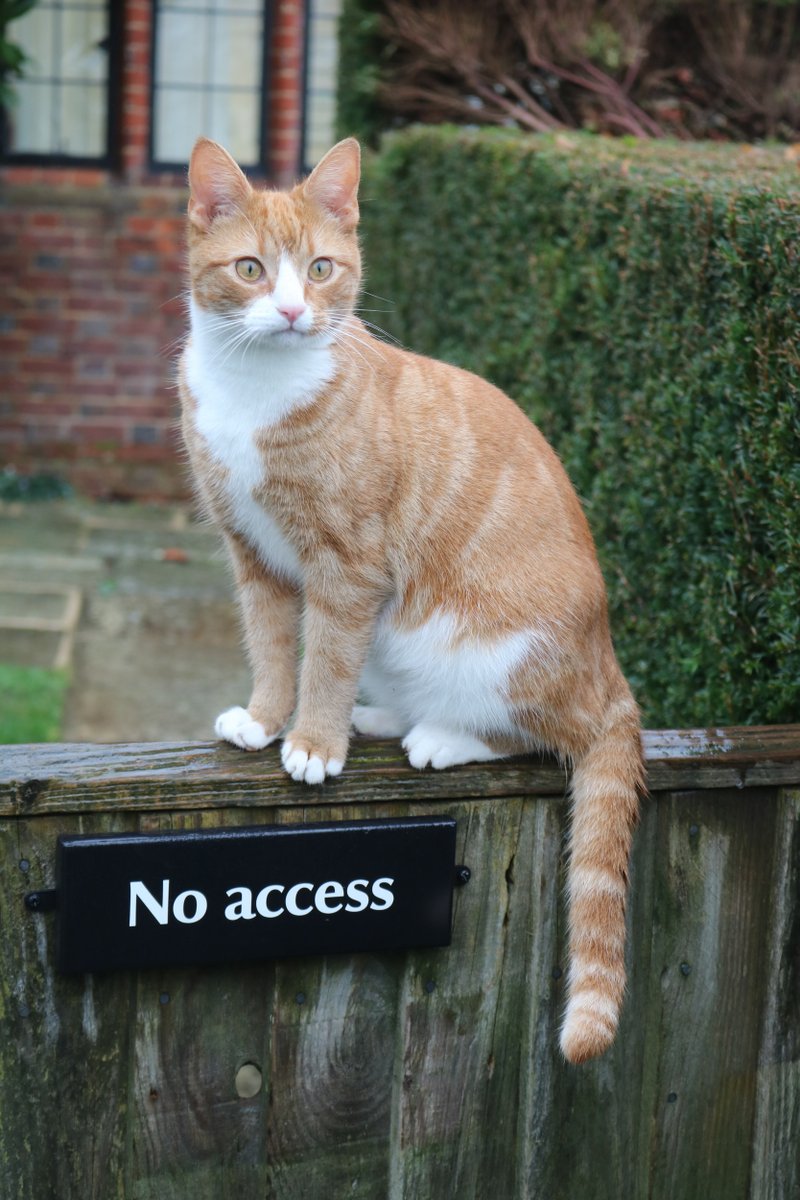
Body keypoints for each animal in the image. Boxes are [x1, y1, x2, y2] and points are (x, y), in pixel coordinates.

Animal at [179, 136, 642, 1065]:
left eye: (321, 270)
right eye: (251, 270)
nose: (294, 312)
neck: (256, 388)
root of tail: (610, 673)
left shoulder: (347, 568)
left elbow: (326, 657)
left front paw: (312, 743)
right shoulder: (256, 559)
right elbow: (274, 647)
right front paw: (267, 717)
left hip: (499, 655)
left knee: (541, 733)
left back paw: (439, 736)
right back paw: (385, 716)